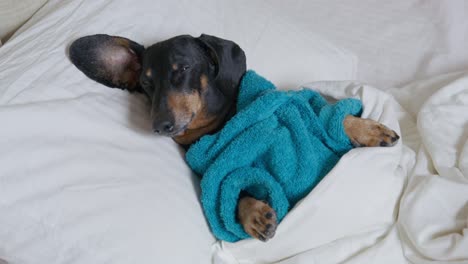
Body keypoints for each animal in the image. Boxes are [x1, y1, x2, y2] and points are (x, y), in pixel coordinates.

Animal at [69, 34, 398, 242]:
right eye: (146, 83)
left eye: (183, 68)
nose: (160, 125)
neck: (221, 122)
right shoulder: (212, 170)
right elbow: (229, 185)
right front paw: (253, 213)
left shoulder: (300, 103)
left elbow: (329, 115)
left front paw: (367, 130)